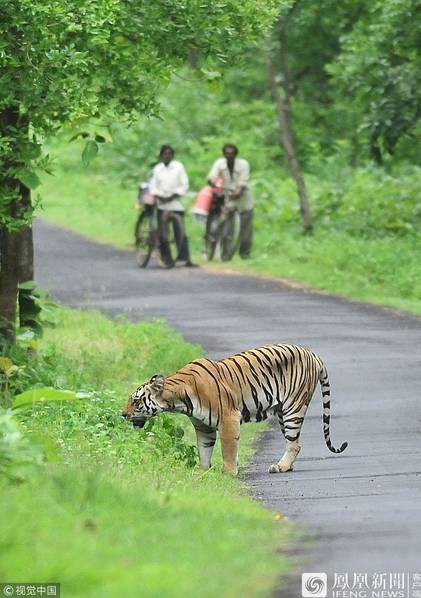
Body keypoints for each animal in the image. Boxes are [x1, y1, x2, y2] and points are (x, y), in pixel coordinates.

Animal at [120, 344, 344, 476]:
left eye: (136, 400)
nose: (122, 414)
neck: (178, 400)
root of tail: (312, 354)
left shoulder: (228, 418)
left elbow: (228, 448)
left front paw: (228, 472)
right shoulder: (203, 427)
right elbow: (204, 449)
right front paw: (203, 472)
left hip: (293, 408)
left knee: (294, 443)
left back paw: (280, 467)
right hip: (282, 411)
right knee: (295, 443)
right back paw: (286, 466)